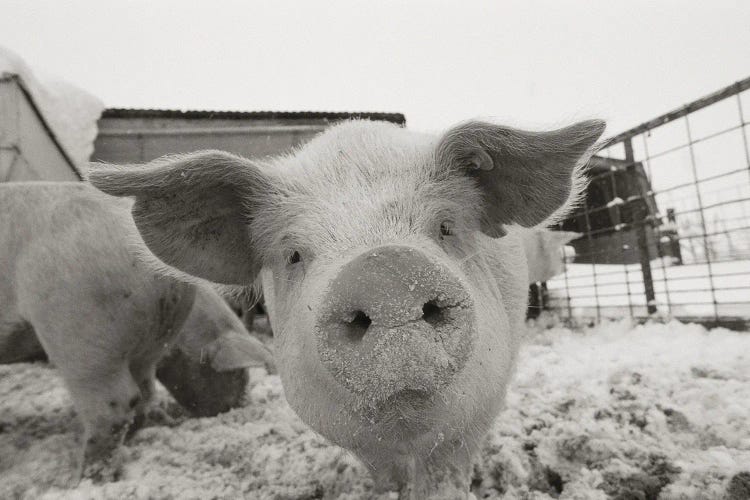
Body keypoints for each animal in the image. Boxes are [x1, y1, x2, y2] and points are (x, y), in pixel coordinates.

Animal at [0, 182, 276, 482]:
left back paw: (80, 478)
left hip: (81, 334)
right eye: (237, 374)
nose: (238, 404)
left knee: (114, 406)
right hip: (138, 345)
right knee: (141, 396)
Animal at [89, 119, 604, 498]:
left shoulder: (484, 401)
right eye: (294, 254)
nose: (386, 272)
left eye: (446, 227)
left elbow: (448, 472)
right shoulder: (348, 433)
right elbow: (385, 477)